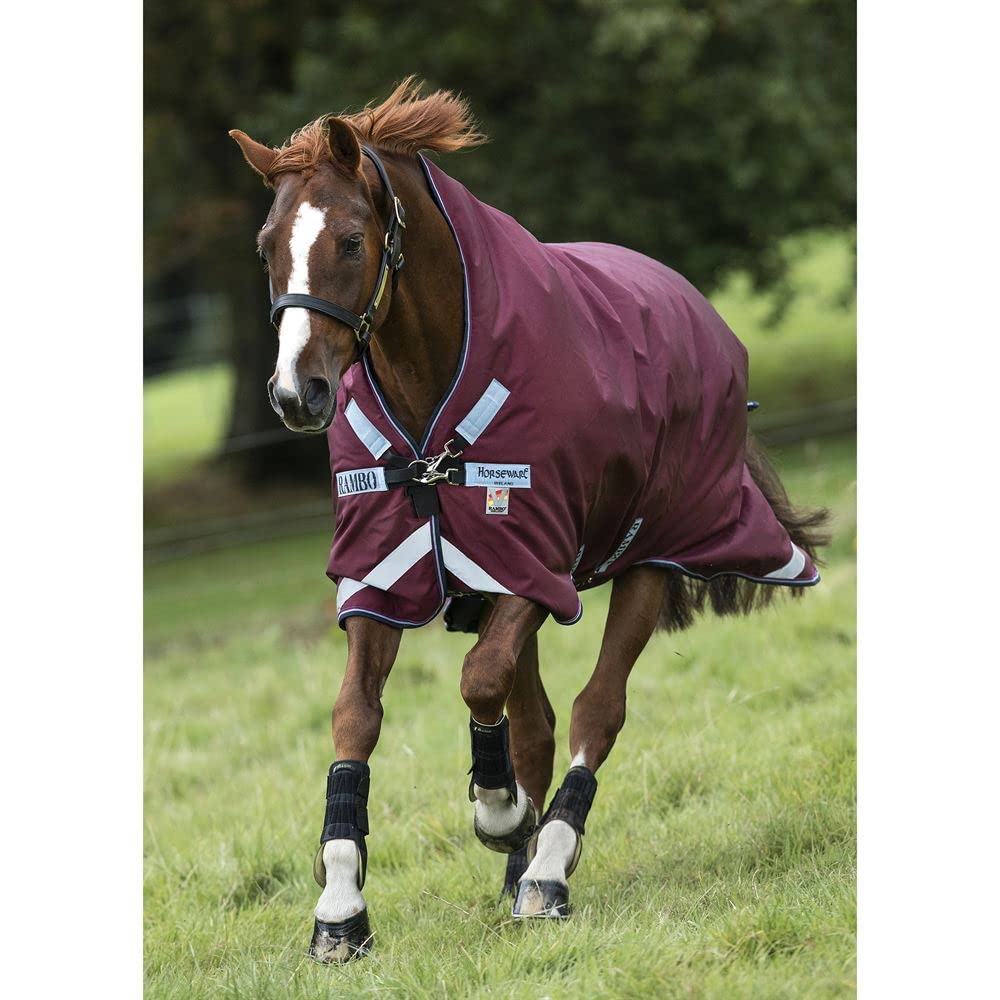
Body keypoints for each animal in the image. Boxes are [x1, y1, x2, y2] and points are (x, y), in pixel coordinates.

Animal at [229, 77, 828, 963]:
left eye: (348, 239)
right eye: (268, 244)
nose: (295, 394)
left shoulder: (530, 562)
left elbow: (483, 681)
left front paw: (500, 810)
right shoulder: (384, 571)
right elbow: (357, 718)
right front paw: (340, 907)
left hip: (651, 561)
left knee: (594, 712)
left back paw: (545, 869)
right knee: (540, 723)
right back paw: (520, 870)